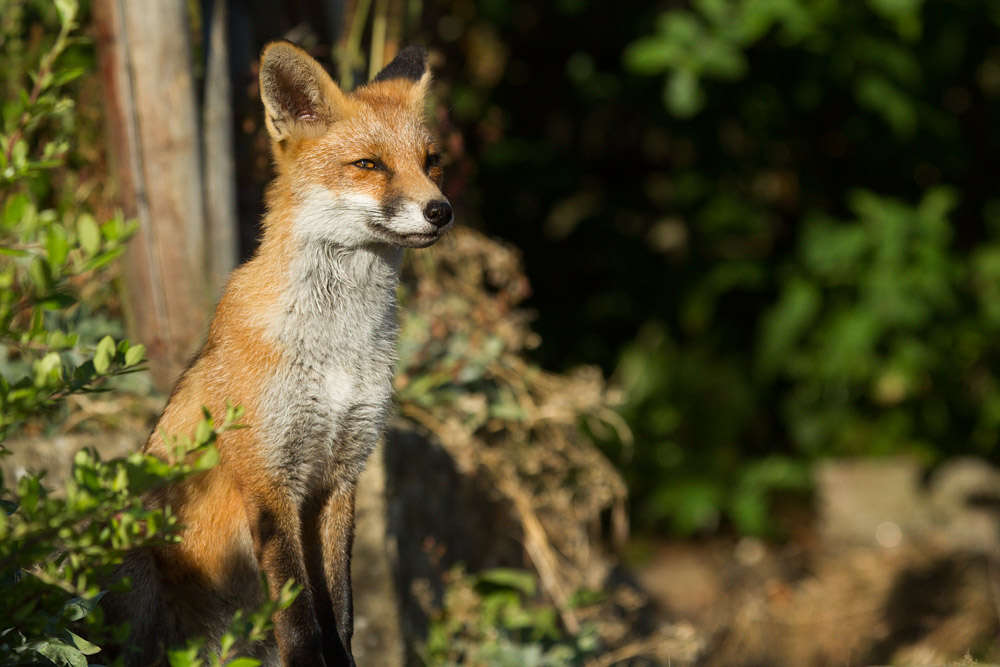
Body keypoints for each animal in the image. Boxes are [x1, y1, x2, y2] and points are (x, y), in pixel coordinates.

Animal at [104, 42, 453, 666]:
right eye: (369, 165)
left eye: (431, 161)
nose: (441, 210)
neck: (337, 350)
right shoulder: (270, 478)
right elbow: (299, 621)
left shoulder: (340, 475)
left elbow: (339, 613)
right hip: (129, 570)